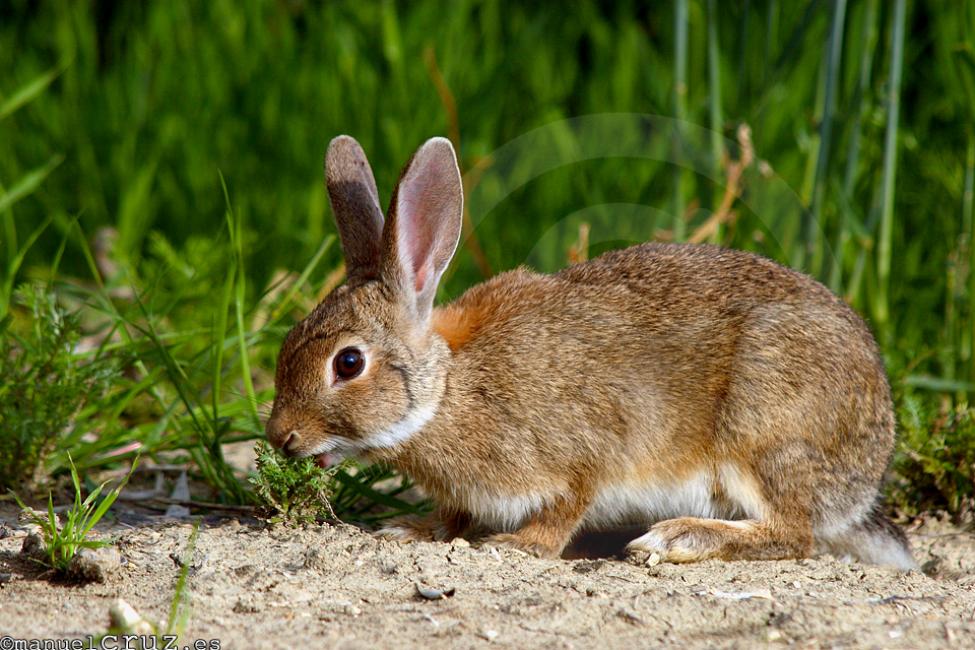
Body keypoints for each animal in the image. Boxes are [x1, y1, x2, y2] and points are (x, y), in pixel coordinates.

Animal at [264, 135, 916, 568]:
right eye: (291, 340)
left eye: (348, 363)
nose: (281, 437)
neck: (447, 389)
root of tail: (870, 463)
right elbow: (453, 514)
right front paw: (409, 529)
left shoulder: (581, 453)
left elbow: (566, 507)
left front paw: (515, 545)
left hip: (763, 431)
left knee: (794, 533)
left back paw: (676, 539)